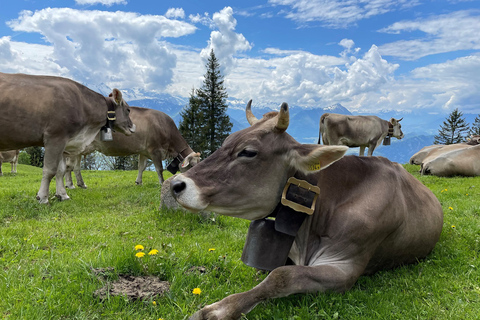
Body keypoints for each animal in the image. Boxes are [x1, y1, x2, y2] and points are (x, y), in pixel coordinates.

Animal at [0, 72, 135, 202]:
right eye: (128, 110)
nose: (134, 126)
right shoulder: (55, 137)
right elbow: (50, 170)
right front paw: (42, 197)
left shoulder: (63, 142)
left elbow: (61, 170)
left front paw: (62, 195)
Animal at [64, 106, 200, 189]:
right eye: (192, 166)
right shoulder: (154, 150)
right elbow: (159, 169)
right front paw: (162, 183)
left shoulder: (144, 151)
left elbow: (141, 167)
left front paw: (138, 182)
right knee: (69, 166)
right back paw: (70, 185)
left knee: (75, 167)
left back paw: (81, 184)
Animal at [172, 100, 442, 320]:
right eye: (225, 141)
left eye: (248, 152)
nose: (176, 184)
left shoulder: (345, 268)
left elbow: (281, 276)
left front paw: (218, 309)